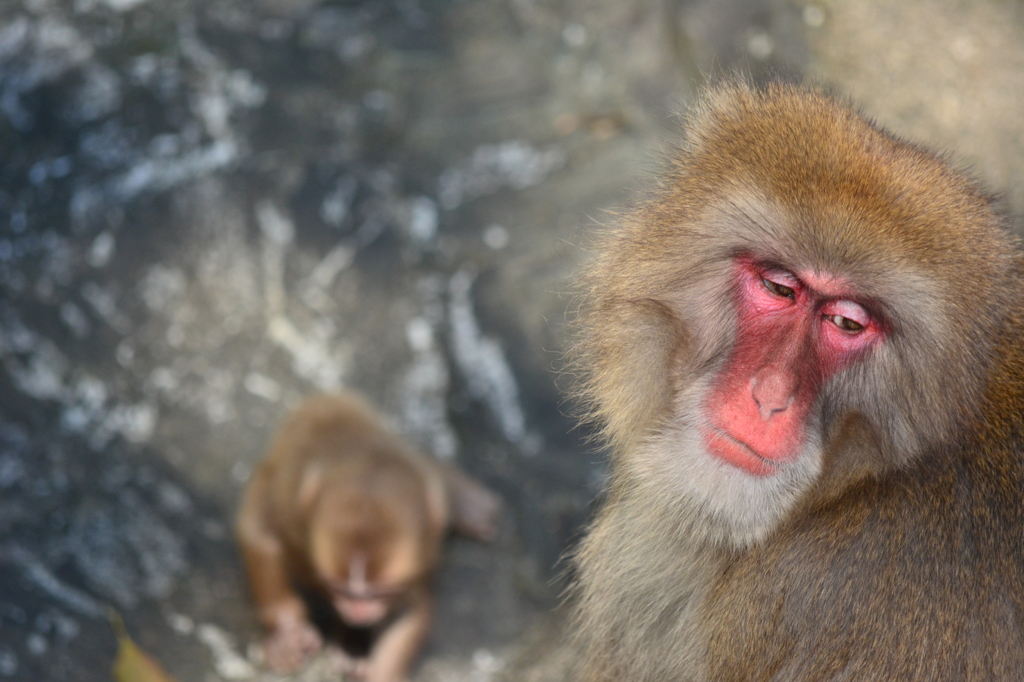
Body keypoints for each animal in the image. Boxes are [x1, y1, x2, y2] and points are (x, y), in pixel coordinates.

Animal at [235, 391, 499, 675]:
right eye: (338, 589)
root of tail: (331, 399)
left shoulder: (417, 563)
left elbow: (410, 611)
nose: (358, 613)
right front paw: (287, 634)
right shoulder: (291, 513)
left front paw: (383, 671)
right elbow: (261, 534)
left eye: (380, 593)